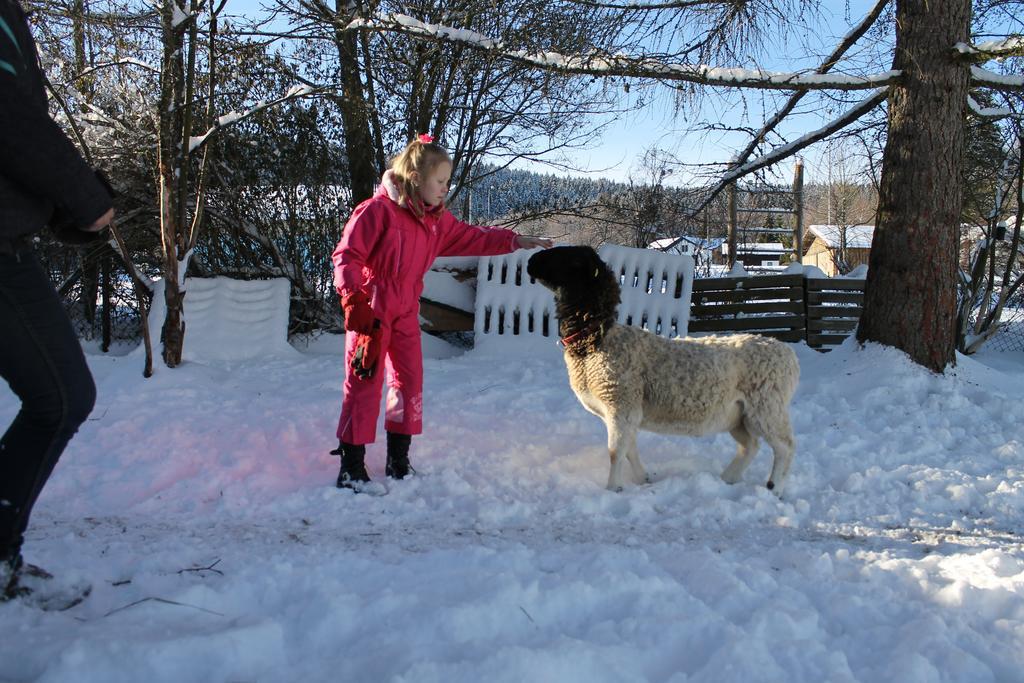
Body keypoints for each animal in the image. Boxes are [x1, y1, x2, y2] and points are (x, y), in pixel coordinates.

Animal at [528, 245, 798, 497]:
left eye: (571, 259)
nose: (531, 261)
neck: (595, 343)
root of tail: (787, 353)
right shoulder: (624, 411)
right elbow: (629, 450)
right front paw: (643, 479)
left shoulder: (621, 404)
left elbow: (615, 452)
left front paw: (613, 488)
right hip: (739, 414)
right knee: (750, 445)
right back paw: (728, 478)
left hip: (767, 407)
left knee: (785, 446)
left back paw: (775, 488)